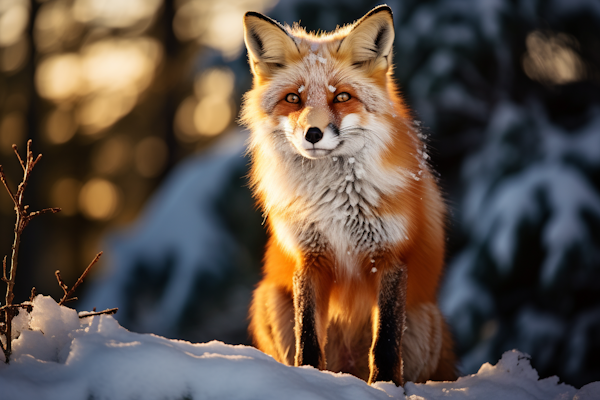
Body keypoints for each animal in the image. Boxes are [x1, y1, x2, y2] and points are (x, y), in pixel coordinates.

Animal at [239, 3, 454, 384]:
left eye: (341, 96)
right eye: (293, 98)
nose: (312, 133)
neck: (334, 201)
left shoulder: (389, 255)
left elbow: (385, 340)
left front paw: (385, 385)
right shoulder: (310, 257)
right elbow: (308, 334)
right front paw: (310, 378)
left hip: (423, 321)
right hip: (269, 298)